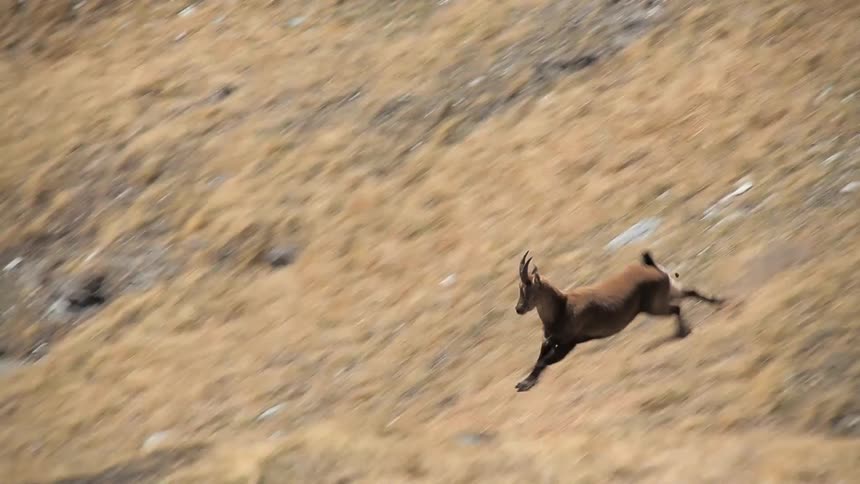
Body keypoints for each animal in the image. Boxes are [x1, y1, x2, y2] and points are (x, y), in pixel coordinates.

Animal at [513, 249, 724, 392]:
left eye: (528, 289)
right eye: (520, 289)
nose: (519, 309)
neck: (562, 308)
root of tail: (653, 268)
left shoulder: (568, 343)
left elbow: (544, 361)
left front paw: (525, 385)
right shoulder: (550, 340)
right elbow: (539, 359)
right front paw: (524, 382)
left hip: (654, 306)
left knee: (677, 307)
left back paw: (684, 331)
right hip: (663, 296)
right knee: (688, 292)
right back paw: (718, 302)